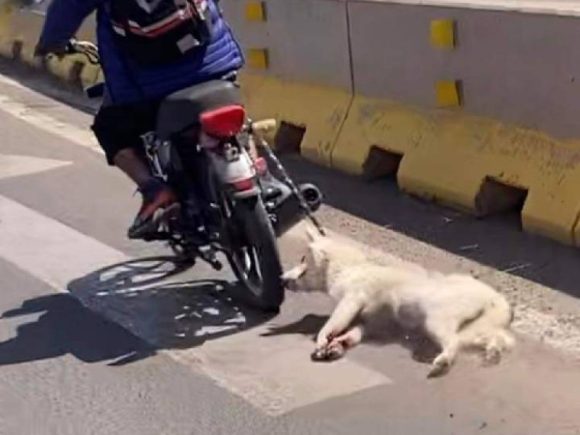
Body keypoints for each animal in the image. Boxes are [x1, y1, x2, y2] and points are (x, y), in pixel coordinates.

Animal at [284, 228, 516, 378]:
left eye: (303, 260)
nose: (283, 279)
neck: (349, 267)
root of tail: (494, 296)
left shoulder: (353, 297)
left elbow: (335, 320)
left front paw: (323, 338)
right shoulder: (373, 320)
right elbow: (356, 330)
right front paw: (340, 342)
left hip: (437, 318)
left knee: (454, 342)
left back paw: (444, 361)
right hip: (476, 326)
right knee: (495, 337)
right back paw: (493, 352)